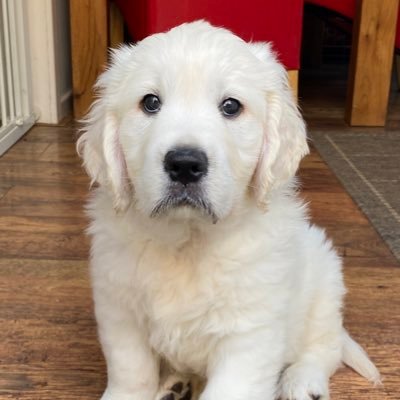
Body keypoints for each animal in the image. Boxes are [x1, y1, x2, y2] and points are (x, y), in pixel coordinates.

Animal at [76, 20, 380, 400]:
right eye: (150, 102)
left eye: (232, 106)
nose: (185, 164)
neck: (188, 240)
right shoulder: (120, 312)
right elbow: (131, 374)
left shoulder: (250, 335)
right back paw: (176, 385)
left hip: (325, 284)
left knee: (325, 347)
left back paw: (302, 383)